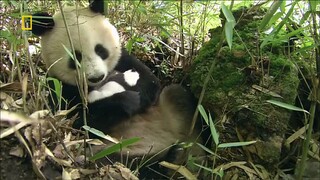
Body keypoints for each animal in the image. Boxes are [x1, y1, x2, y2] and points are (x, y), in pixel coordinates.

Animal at [31, 0, 204, 177]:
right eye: (75, 57)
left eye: (100, 50)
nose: (97, 77)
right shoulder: (57, 85)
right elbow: (76, 121)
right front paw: (125, 101)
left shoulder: (123, 59)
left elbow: (151, 82)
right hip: (117, 147)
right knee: (110, 159)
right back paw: (164, 162)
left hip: (171, 111)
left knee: (178, 98)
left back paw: (186, 154)